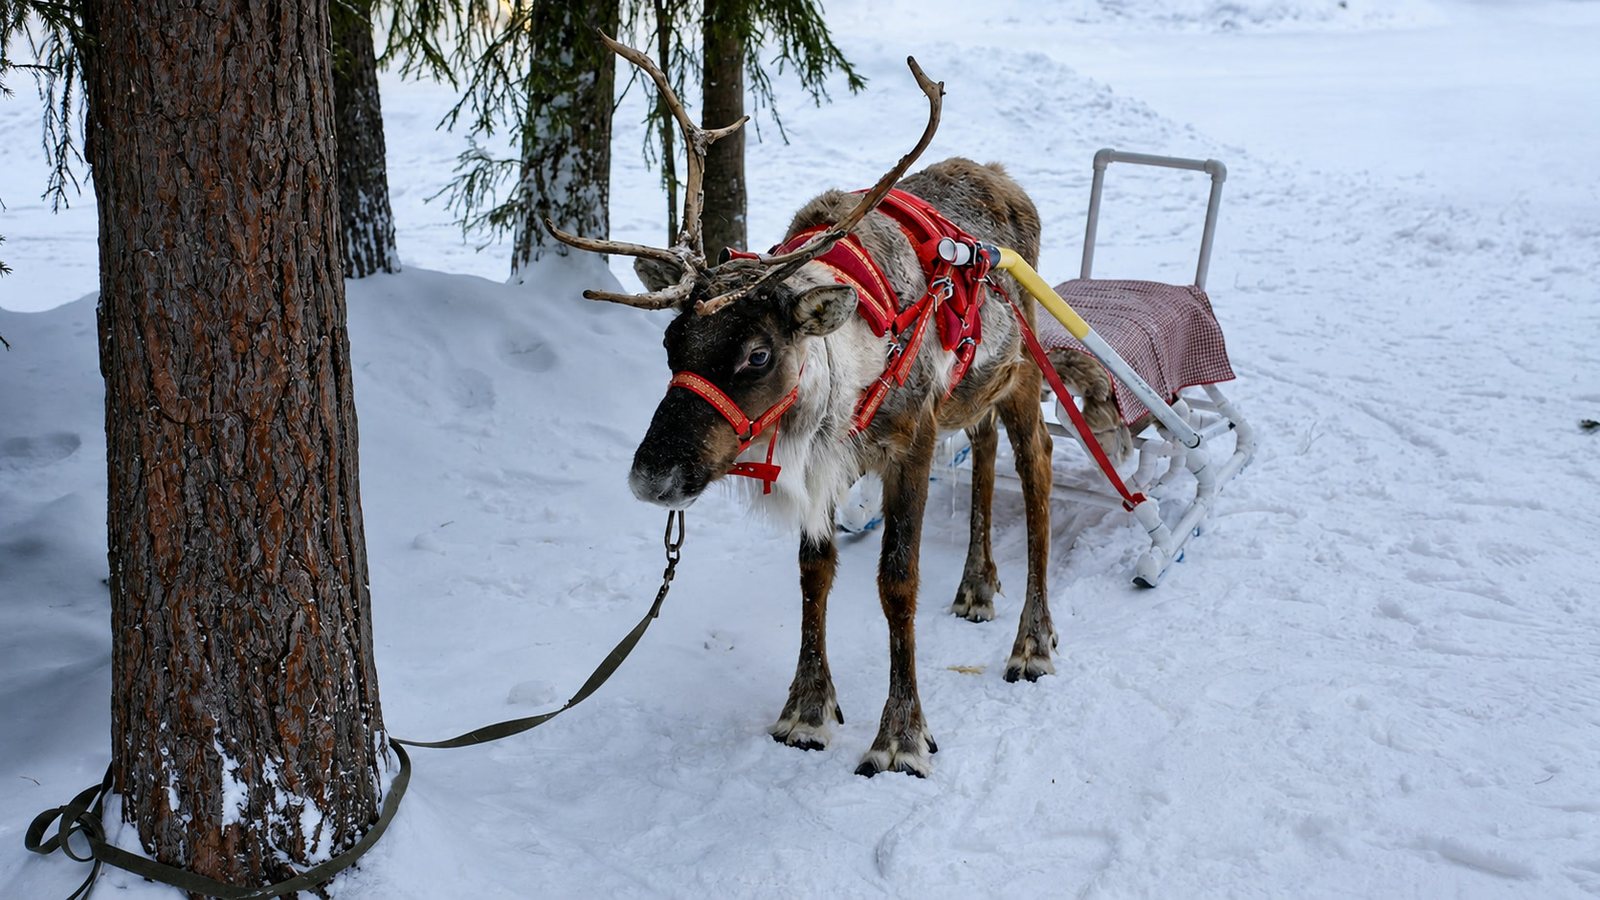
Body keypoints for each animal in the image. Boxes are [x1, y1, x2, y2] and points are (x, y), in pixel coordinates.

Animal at [552, 35, 1071, 778]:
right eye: (672, 342)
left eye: (758, 354)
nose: (652, 477)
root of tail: (1005, 180)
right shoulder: (826, 462)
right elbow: (813, 573)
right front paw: (805, 711)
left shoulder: (910, 441)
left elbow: (896, 581)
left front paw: (901, 738)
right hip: (975, 392)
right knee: (985, 449)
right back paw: (977, 588)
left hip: (1024, 370)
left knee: (1038, 471)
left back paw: (1033, 643)